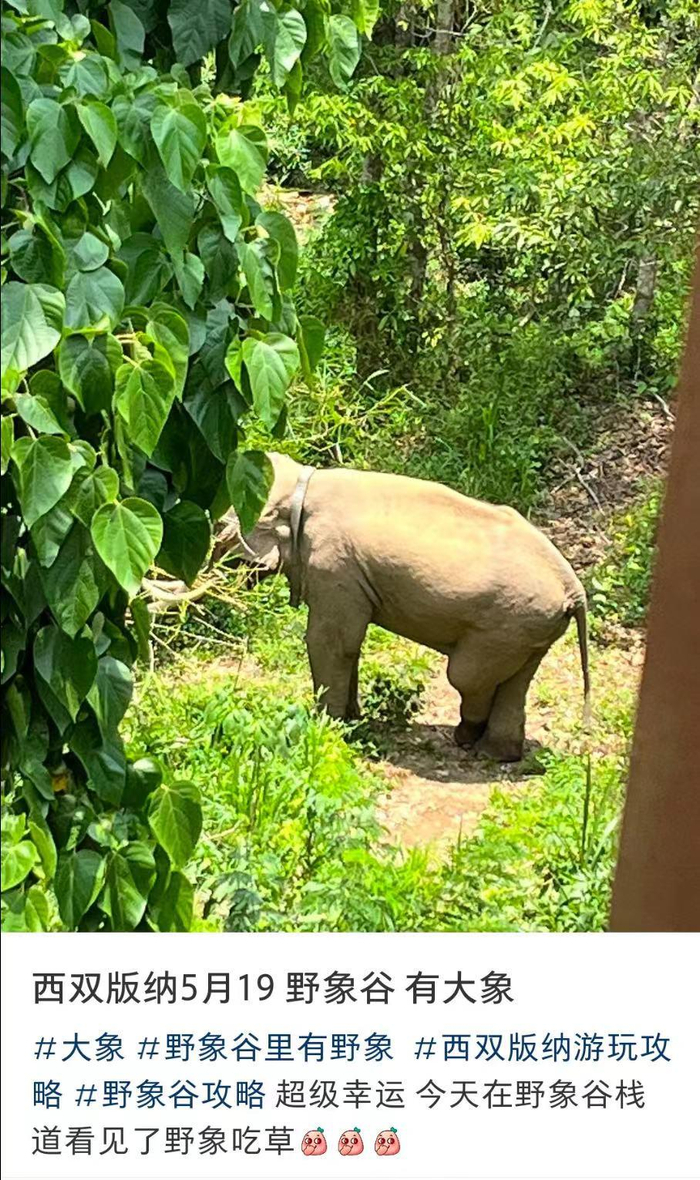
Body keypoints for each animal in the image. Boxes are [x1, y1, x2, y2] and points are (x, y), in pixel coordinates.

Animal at [214, 452, 590, 762]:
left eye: (221, 531)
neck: (304, 483)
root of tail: (574, 589)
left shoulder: (334, 566)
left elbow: (331, 641)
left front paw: (328, 726)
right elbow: (350, 644)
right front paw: (352, 720)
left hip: (507, 626)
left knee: (466, 675)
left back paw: (466, 737)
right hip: (532, 631)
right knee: (516, 681)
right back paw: (499, 754)